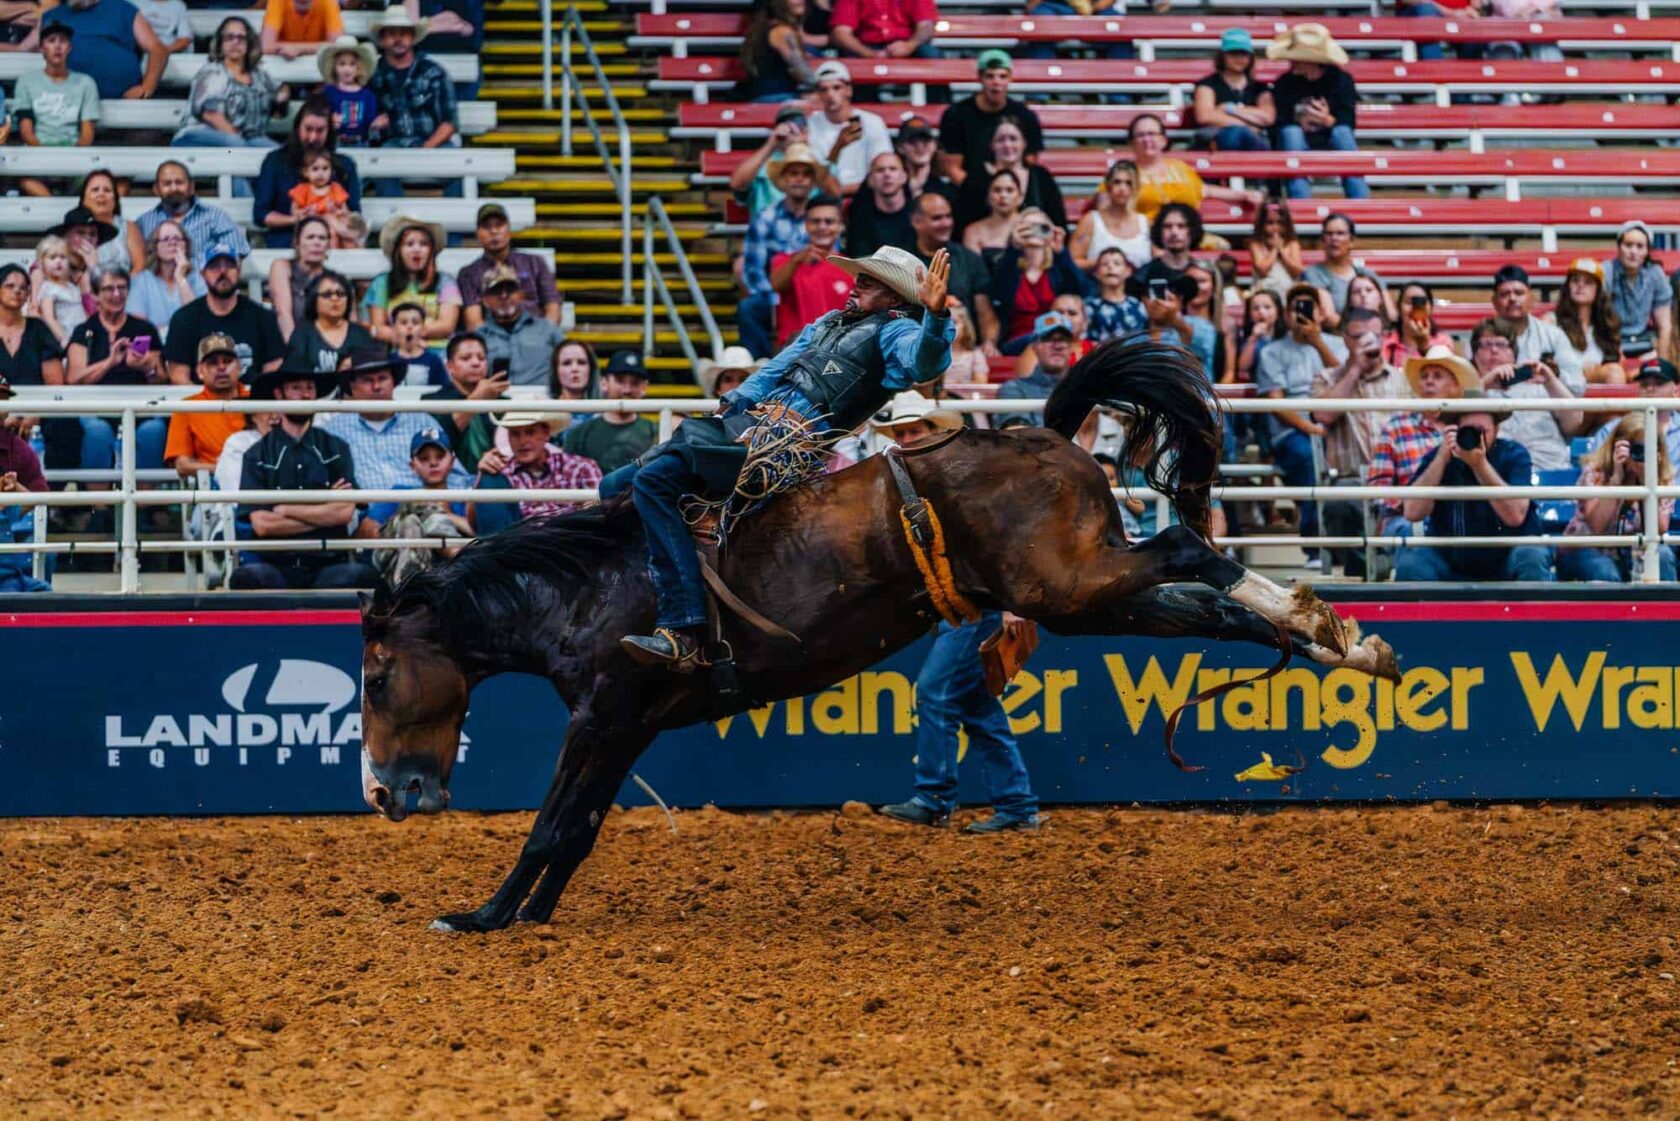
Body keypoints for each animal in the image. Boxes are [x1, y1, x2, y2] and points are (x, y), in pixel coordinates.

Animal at [361, 337, 1397, 934]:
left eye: (372, 676)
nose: (382, 794)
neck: (591, 584)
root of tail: (1045, 435)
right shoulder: (630, 725)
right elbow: (574, 829)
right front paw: (528, 914)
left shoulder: (604, 714)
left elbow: (548, 822)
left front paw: (481, 916)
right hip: (1083, 595)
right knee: (1204, 603)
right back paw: (1339, 638)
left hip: (1069, 584)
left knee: (1185, 545)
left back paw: (1322, 626)